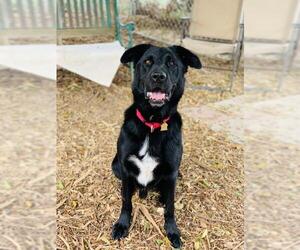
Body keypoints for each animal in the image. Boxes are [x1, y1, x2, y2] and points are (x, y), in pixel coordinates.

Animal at [111, 44, 200, 247]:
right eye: (147, 62)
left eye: (172, 63)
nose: (158, 76)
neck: (152, 125)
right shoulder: (125, 168)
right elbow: (126, 202)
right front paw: (122, 224)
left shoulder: (172, 171)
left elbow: (171, 207)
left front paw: (172, 230)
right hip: (115, 165)